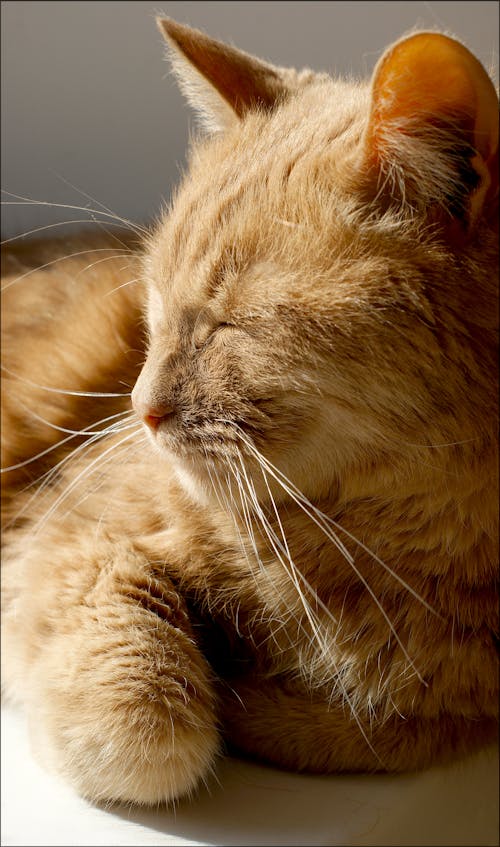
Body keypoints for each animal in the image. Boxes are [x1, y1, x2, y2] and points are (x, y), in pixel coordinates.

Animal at [1, 16, 498, 804]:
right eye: (154, 306)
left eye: (231, 326)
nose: (139, 409)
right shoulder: (66, 538)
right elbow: (150, 729)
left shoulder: (436, 713)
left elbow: (362, 727)